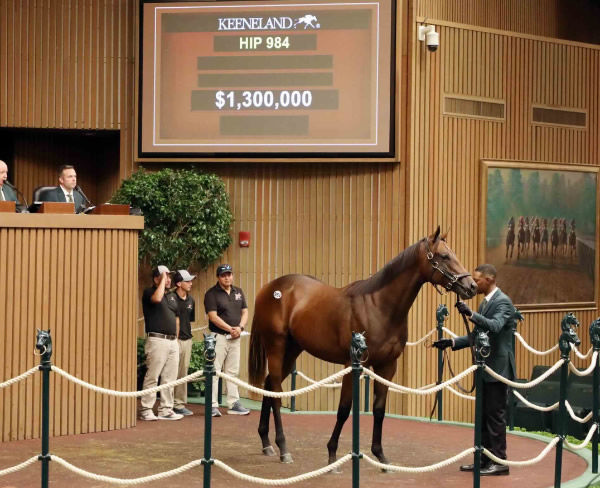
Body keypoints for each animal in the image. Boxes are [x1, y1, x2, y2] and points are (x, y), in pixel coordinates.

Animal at [246, 229, 476, 468]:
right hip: (276, 346)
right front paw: (332, 454)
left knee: (269, 386)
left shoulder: (387, 366)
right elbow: (344, 409)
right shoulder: (352, 364)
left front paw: (380, 455)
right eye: (444, 256)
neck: (379, 306)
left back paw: (267, 443)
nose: (471, 287)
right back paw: (283, 448)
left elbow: (379, 409)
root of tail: (269, 288)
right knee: (276, 393)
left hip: (292, 350)